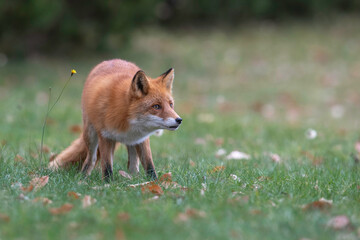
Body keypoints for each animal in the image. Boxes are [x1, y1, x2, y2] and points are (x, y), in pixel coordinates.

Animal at [48, 59, 183, 181]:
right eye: (156, 106)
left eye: (171, 104)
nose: (179, 120)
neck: (128, 120)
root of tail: (111, 60)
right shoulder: (105, 136)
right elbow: (107, 166)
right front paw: (108, 184)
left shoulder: (142, 139)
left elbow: (149, 166)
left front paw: (154, 183)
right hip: (91, 135)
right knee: (90, 160)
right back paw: (83, 178)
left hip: (132, 143)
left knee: (133, 166)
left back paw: (133, 180)